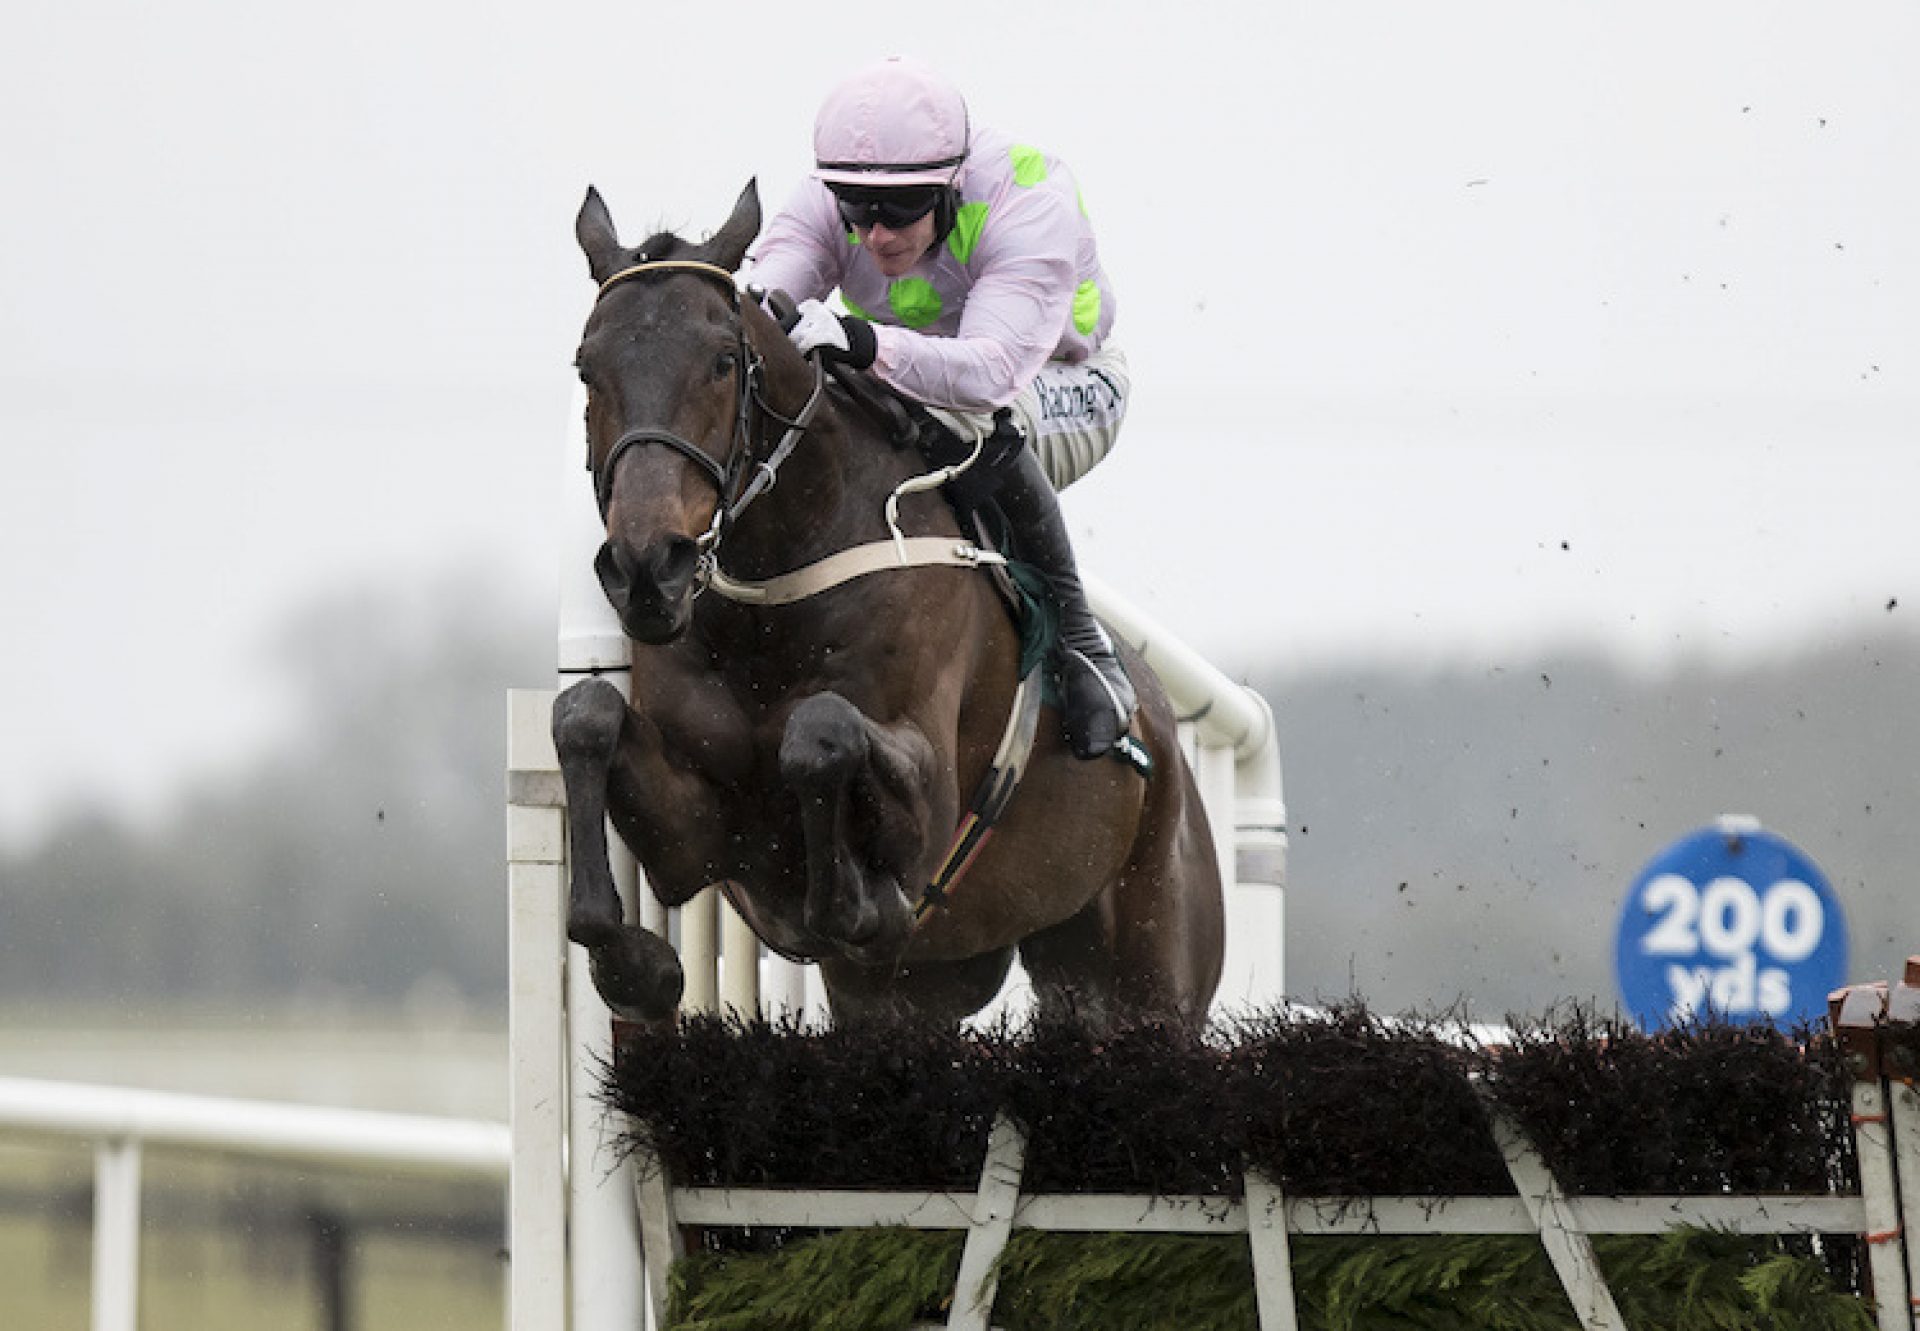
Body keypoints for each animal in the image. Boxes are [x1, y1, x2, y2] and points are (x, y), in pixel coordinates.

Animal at [549, 179, 1221, 1029]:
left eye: (723, 361)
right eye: (585, 367)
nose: (647, 567)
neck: (772, 605)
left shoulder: (927, 803)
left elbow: (822, 732)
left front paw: (850, 898)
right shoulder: (697, 835)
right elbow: (585, 716)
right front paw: (634, 961)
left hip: (1153, 973)